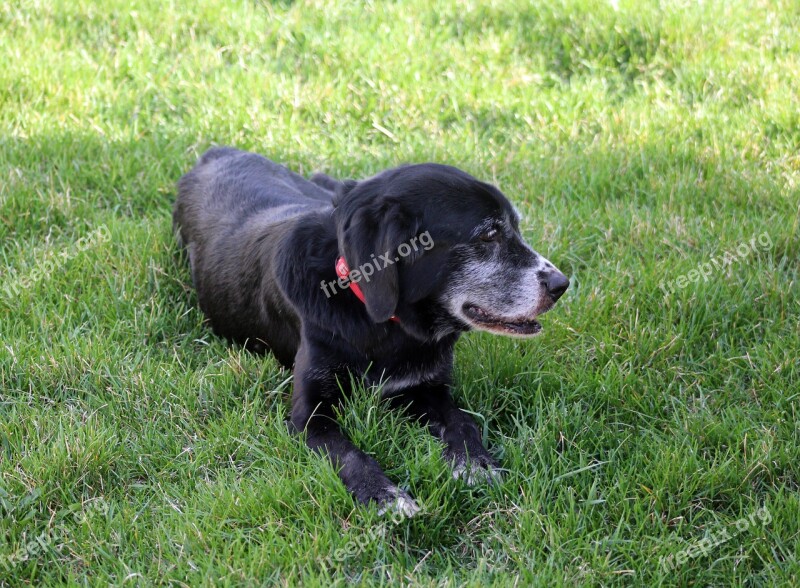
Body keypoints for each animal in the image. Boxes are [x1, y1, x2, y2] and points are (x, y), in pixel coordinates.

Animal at [173, 147, 568, 516]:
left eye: (515, 228)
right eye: (488, 235)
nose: (562, 284)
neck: (378, 320)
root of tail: (217, 152)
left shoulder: (428, 386)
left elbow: (463, 422)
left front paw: (477, 465)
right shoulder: (309, 416)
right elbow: (350, 455)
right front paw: (384, 496)